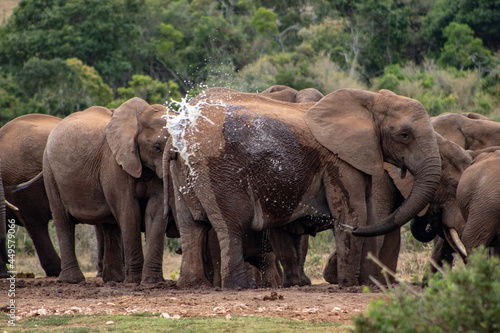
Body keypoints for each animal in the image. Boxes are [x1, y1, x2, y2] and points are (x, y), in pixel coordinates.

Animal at [43, 97, 168, 284]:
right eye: (157, 148)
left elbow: (155, 212)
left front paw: (152, 282)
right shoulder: (113, 163)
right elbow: (130, 212)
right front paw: (134, 282)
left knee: (110, 225)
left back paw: (114, 279)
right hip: (50, 170)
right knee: (63, 219)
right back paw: (72, 280)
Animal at [165, 87, 442, 288]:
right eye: (405, 135)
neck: (369, 100)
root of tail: (179, 130)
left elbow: (370, 214)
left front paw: (367, 285)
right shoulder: (338, 160)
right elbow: (353, 213)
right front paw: (349, 285)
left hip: (183, 170)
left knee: (191, 225)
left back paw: (193, 286)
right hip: (219, 169)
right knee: (231, 225)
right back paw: (241, 287)